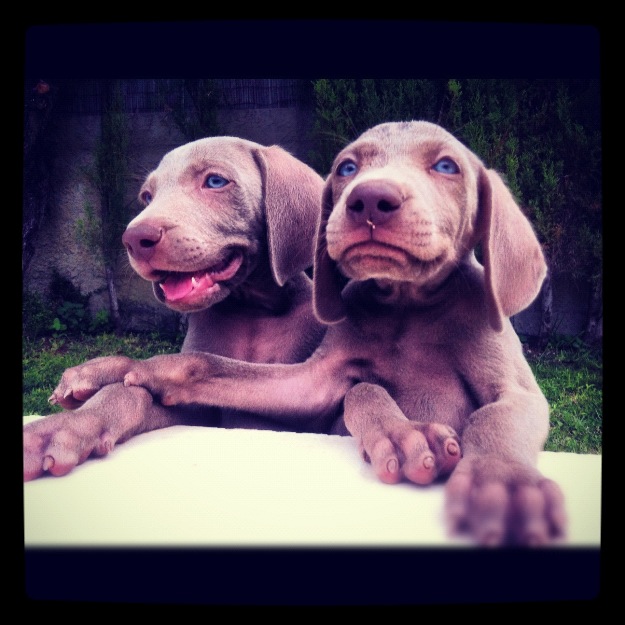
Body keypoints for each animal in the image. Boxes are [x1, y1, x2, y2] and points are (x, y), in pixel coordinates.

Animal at [23, 135, 326, 478]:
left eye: (215, 181)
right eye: (147, 196)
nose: (134, 238)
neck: (250, 308)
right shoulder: (196, 412)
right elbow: (131, 390)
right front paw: (67, 425)